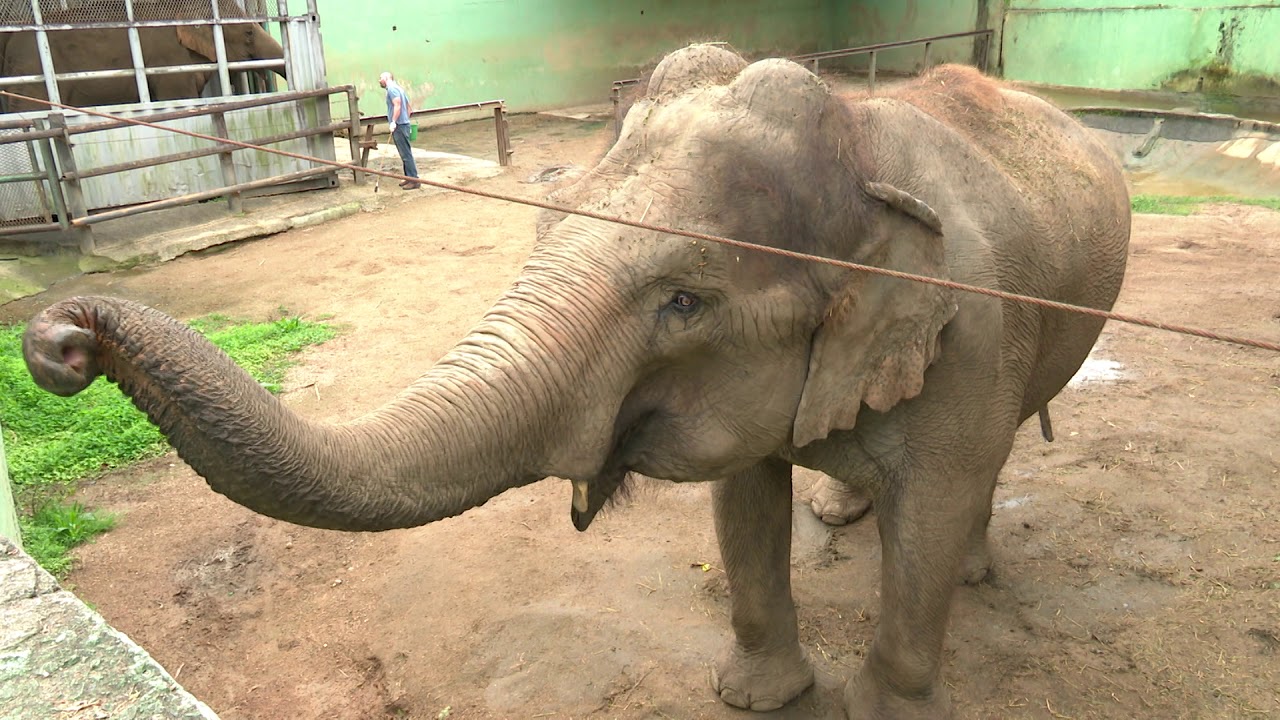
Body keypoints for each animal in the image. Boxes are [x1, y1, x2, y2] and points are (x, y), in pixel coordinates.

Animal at [22, 44, 1130, 719]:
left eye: (683, 300)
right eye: (546, 221)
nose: (61, 337)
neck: (865, 154)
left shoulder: (971, 335)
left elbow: (932, 506)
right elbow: (744, 506)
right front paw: (753, 696)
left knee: (983, 469)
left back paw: (971, 568)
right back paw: (840, 509)